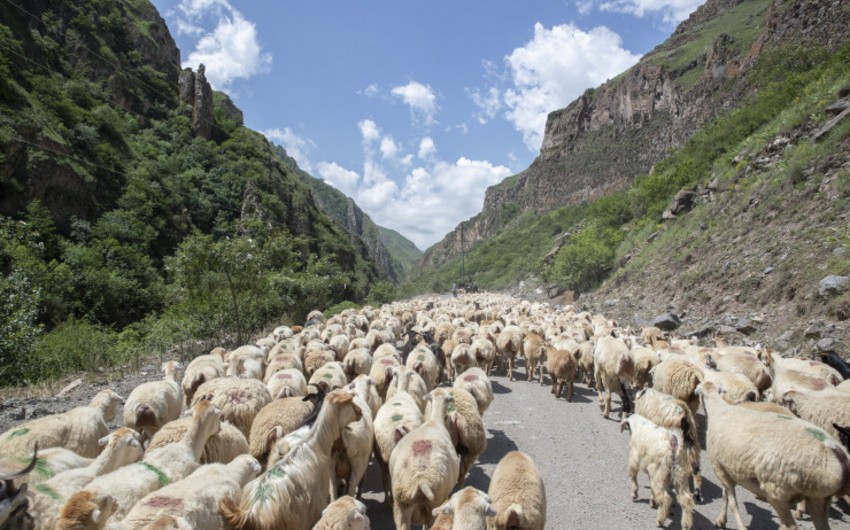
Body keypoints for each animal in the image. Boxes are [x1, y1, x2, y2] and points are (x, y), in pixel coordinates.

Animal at [696, 380, 848, 528]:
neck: (719, 408)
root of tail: (837, 454)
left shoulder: (720, 468)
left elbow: (730, 500)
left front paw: (724, 521)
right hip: (818, 498)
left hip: (777, 490)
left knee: (789, 525)